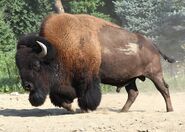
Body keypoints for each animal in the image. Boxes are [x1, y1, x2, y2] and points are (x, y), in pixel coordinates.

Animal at [15, 12, 175, 112]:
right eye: (19, 65)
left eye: (36, 64)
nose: (27, 86)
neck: (58, 50)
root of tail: (152, 45)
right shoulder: (60, 85)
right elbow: (60, 98)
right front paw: (72, 108)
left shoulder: (87, 79)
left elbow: (86, 96)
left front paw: (85, 109)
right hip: (130, 78)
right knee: (133, 93)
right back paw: (122, 111)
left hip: (154, 74)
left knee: (164, 89)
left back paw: (169, 110)